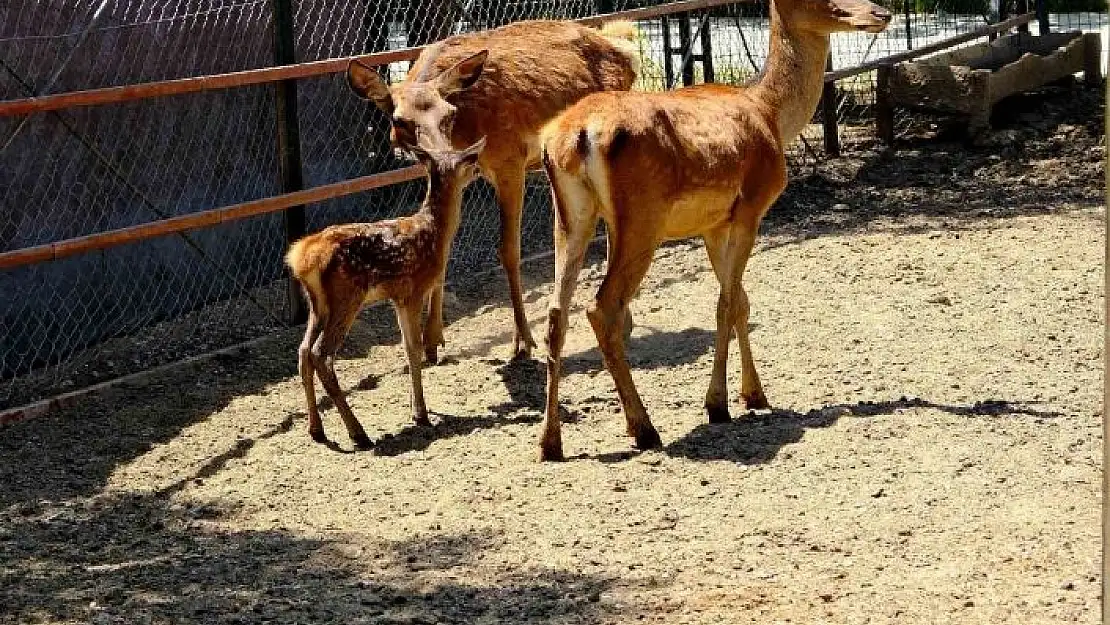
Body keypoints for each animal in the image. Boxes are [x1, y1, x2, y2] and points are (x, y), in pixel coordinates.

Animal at [290, 139, 486, 448]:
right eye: (466, 160)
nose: (479, 169)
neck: (436, 234)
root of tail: (302, 258)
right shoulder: (415, 290)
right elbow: (415, 347)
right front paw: (421, 414)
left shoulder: (398, 297)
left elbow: (407, 348)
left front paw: (417, 408)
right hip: (347, 296)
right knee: (321, 354)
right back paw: (358, 432)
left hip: (317, 304)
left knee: (303, 351)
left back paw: (317, 430)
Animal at [346, 18, 643, 361]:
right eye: (400, 121)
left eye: (448, 114)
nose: (444, 157)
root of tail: (625, 47)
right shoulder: (459, 174)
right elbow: (444, 240)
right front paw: (432, 340)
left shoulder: (509, 161)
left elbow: (509, 250)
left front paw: (523, 341)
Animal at [537, 0, 892, 459]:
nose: (881, 14)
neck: (771, 115)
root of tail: (576, 135)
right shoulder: (751, 209)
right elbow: (726, 303)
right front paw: (718, 405)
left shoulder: (712, 225)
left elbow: (741, 300)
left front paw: (754, 394)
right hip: (642, 219)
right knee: (603, 308)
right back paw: (644, 429)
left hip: (571, 216)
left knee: (556, 314)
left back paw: (550, 442)